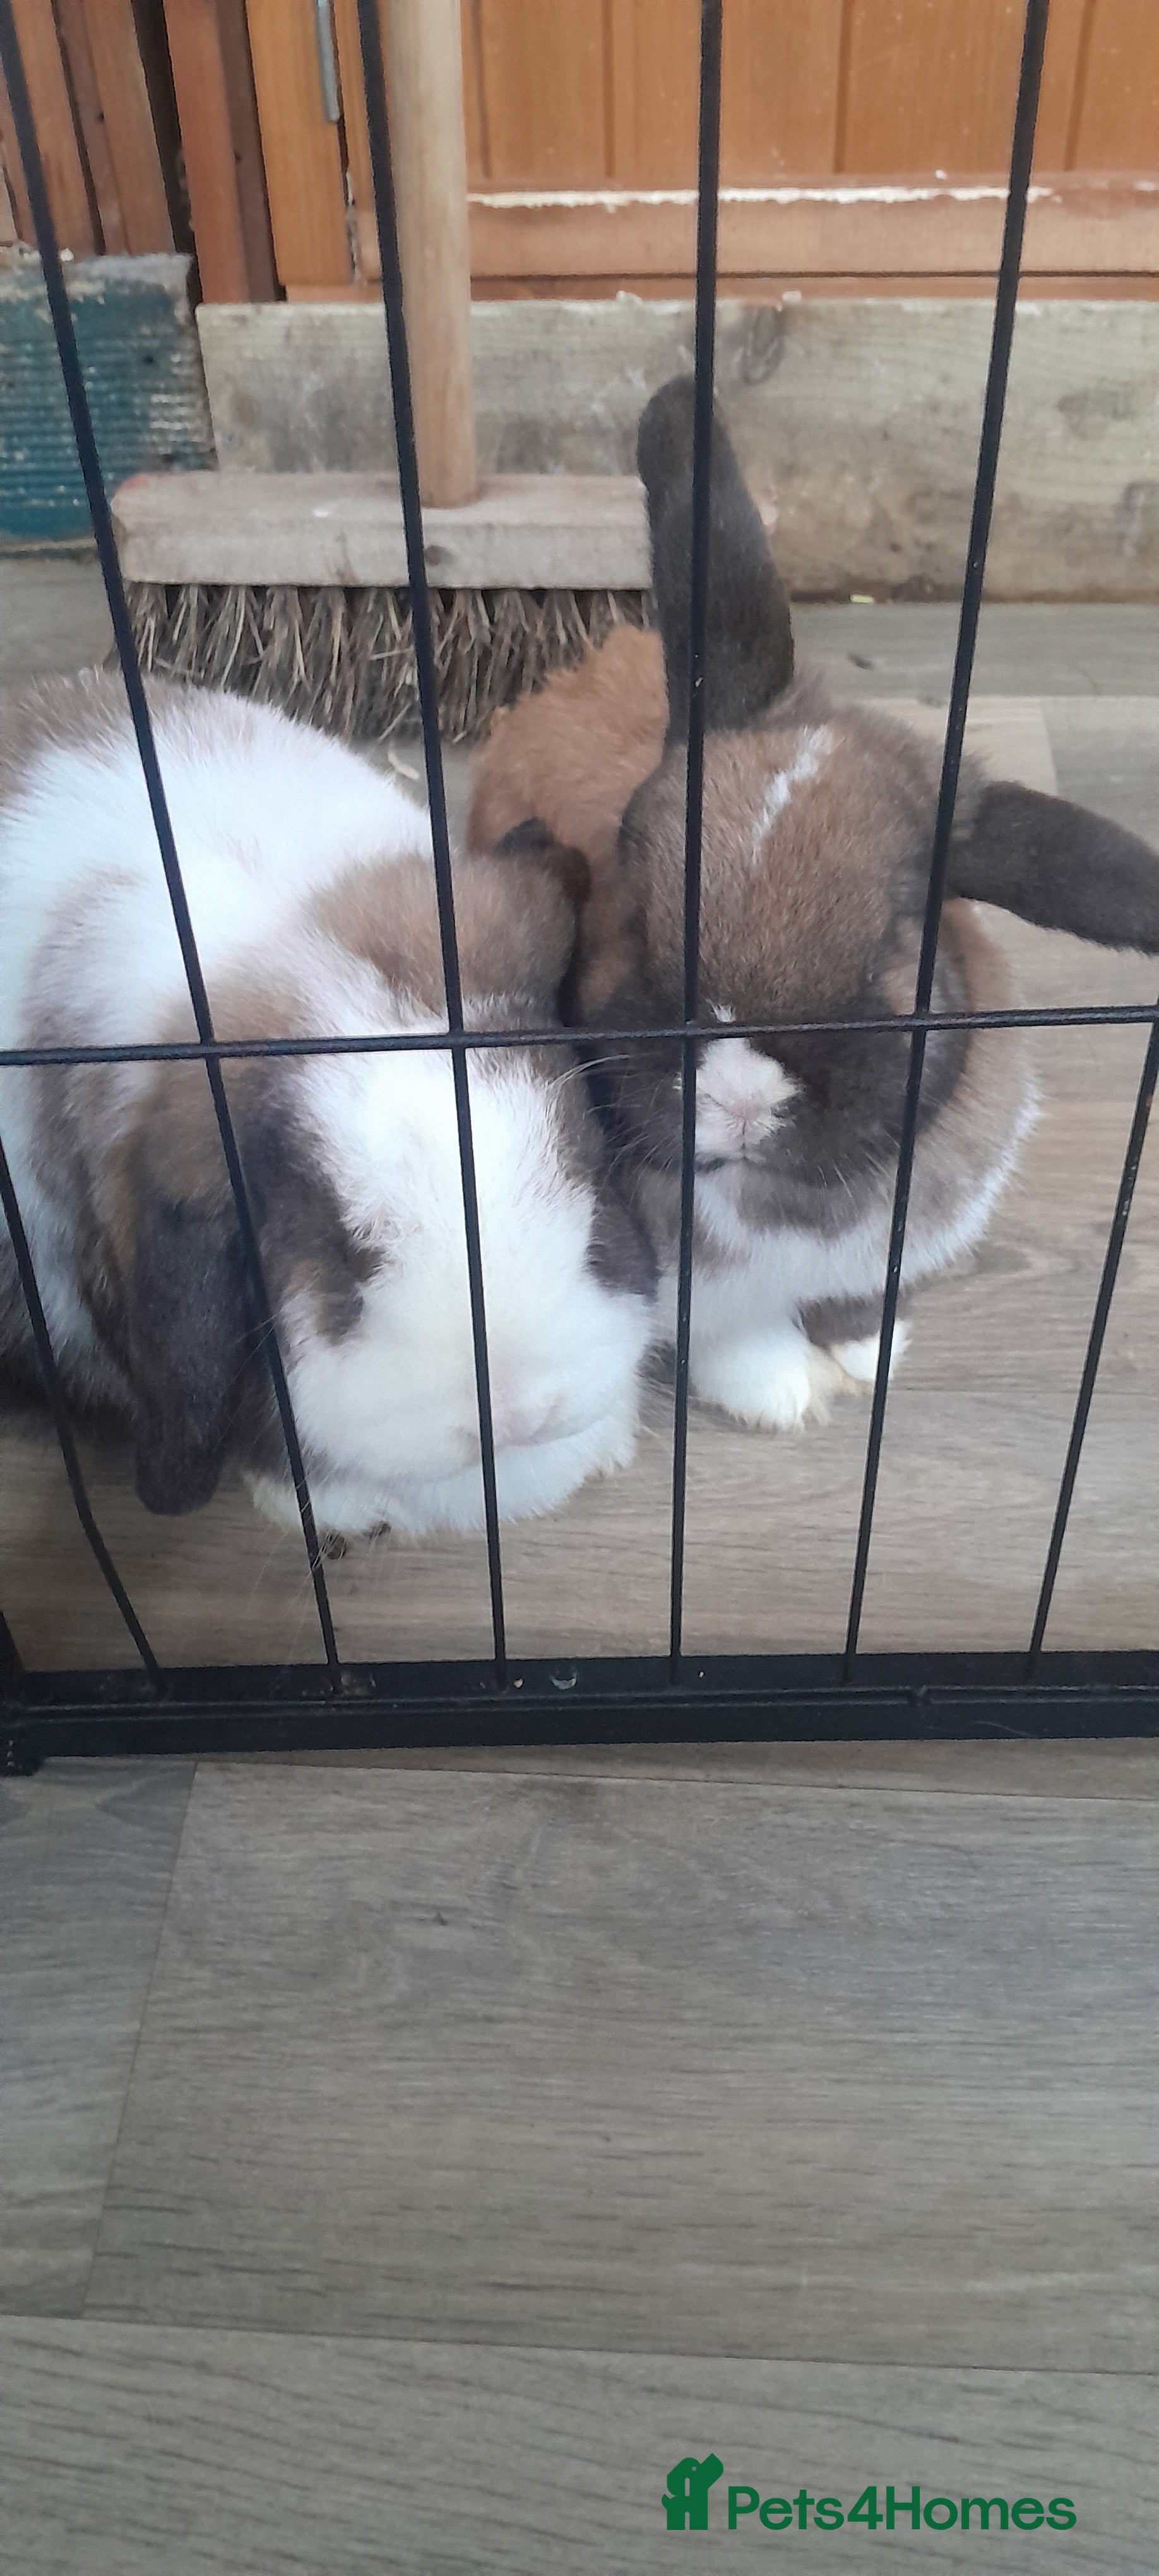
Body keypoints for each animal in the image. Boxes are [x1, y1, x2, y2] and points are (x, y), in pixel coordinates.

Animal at [468, 373, 1159, 1434]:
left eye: (891, 952)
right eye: (636, 905)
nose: (741, 1097)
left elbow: (857, 1299)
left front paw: (870, 1356)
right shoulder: (689, 1282)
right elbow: (731, 1336)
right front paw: (783, 1398)